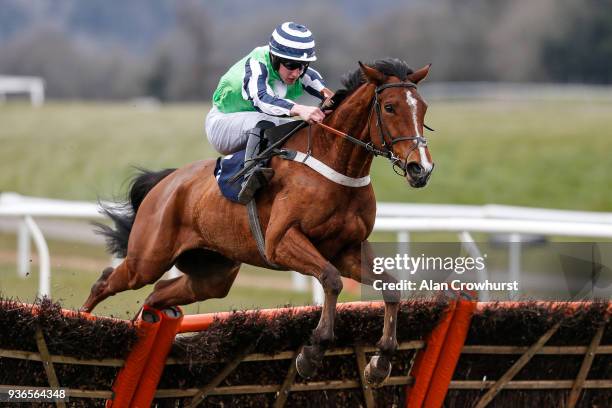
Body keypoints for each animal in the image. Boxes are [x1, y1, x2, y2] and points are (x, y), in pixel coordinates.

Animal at [82, 59, 436, 388]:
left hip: (212, 275)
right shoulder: (282, 241)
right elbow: (331, 280)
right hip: (148, 259)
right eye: (389, 107)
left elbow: (390, 288)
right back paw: (82, 321)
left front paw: (381, 361)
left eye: (424, 108)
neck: (335, 167)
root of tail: (167, 182)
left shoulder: (347, 249)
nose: (421, 169)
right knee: (105, 282)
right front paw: (312, 352)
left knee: (157, 294)